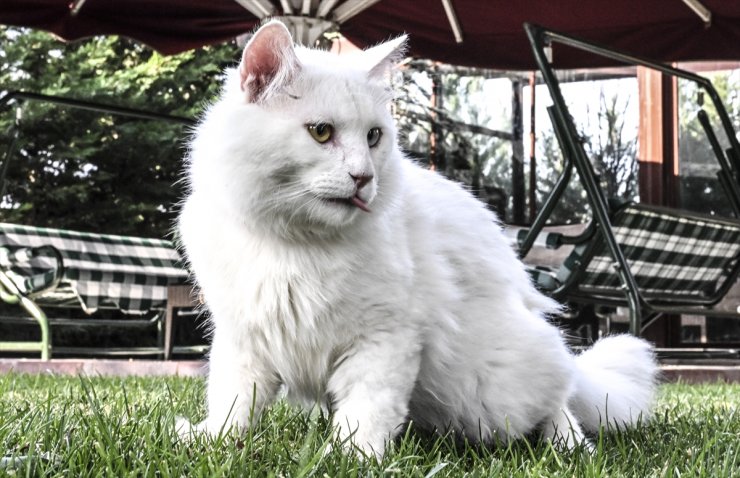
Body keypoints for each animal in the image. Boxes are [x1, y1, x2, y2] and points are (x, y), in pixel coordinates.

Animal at [178, 20, 660, 458]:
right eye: (321, 132)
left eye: (374, 137)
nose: (363, 178)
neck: (295, 244)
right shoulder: (243, 338)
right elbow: (233, 401)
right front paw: (213, 439)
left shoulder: (385, 339)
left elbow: (367, 411)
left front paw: (350, 457)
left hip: (499, 391)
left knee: (559, 406)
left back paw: (570, 447)